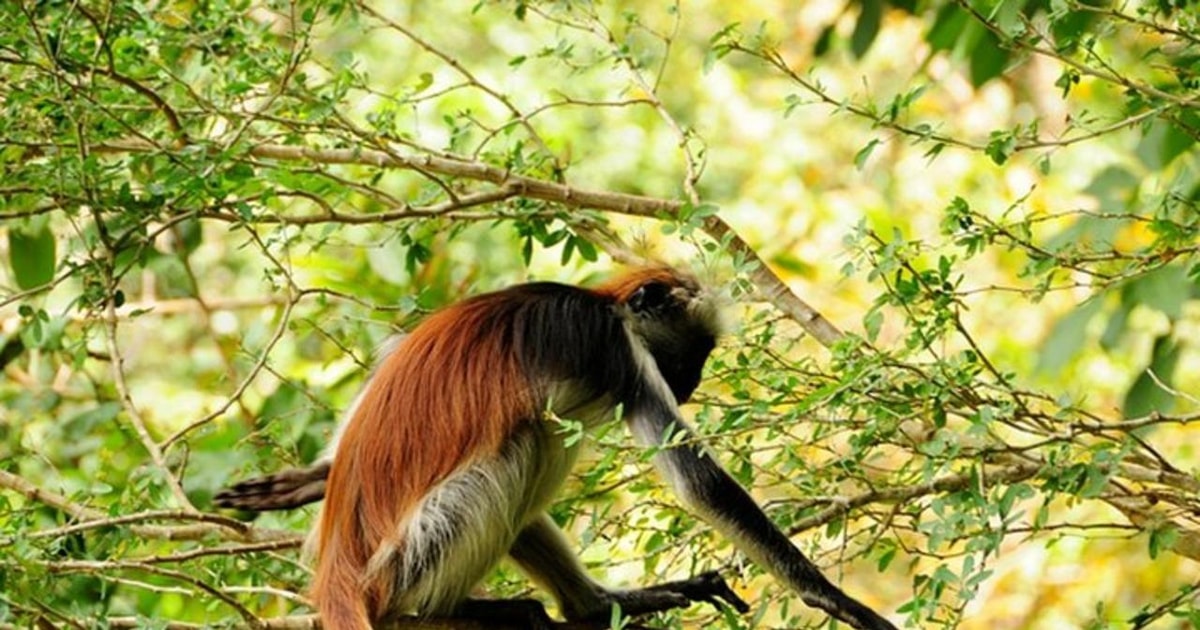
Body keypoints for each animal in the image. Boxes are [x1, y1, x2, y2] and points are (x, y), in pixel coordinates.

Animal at [216, 266, 897, 628]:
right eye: (696, 353)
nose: (694, 382)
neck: (598, 300)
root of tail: (341, 563)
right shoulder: (617, 349)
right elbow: (698, 484)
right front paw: (832, 598)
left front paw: (303, 480)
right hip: (406, 561)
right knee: (522, 450)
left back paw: (593, 606)